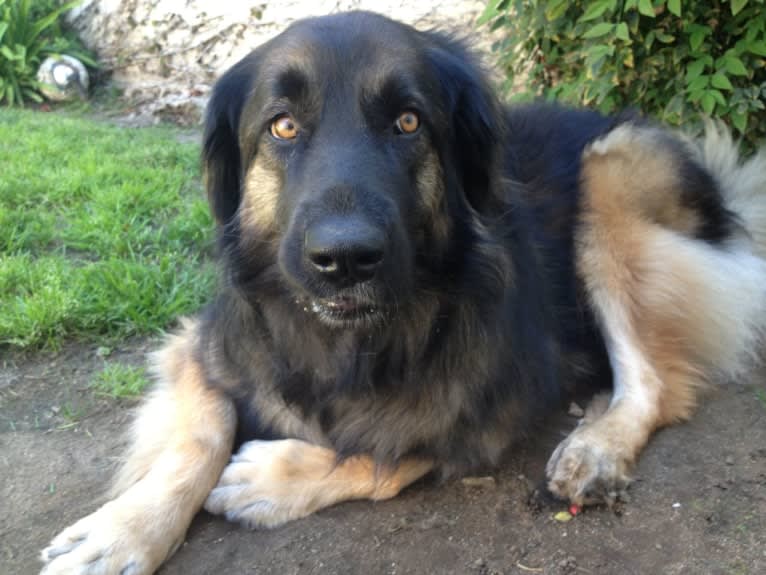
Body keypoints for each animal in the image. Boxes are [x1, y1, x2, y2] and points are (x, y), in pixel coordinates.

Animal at [40, 10, 766, 575]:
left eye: (409, 122)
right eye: (282, 126)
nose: (345, 260)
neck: (351, 342)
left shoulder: (492, 403)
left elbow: (394, 451)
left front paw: (268, 478)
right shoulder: (202, 344)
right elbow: (201, 431)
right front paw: (122, 531)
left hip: (611, 173)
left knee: (656, 383)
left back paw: (597, 445)